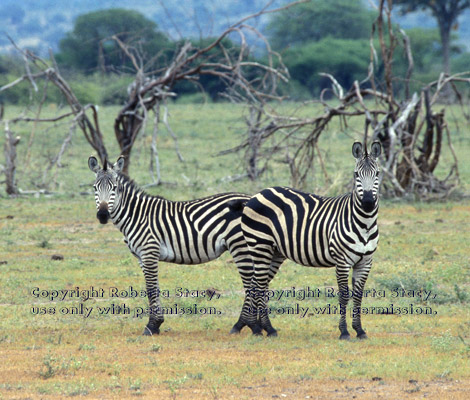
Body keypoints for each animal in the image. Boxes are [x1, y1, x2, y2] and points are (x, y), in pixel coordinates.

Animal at [89, 155, 255, 336]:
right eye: (95, 188)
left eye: (115, 188)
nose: (102, 215)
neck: (136, 216)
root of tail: (251, 198)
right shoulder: (142, 257)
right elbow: (153, 288)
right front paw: (157, 324)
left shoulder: (149, 252)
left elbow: (151, 289)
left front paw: (152, 326)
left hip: (240, 245)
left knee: (251, 282)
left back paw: (241, 324)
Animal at [241, 142, 380, 340]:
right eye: (356, 174)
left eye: (377, 174)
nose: (368, 202)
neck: (364, 223)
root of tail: (258, 193)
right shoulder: (342, 261)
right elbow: (344, 295)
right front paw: (344, 331)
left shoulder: (366, 262)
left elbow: (359, 295)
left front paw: (359, 330)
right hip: (260, 245)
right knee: (258, 286)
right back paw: (265, 328)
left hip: (274, 252)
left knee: (258, 284)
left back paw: (258, 327)